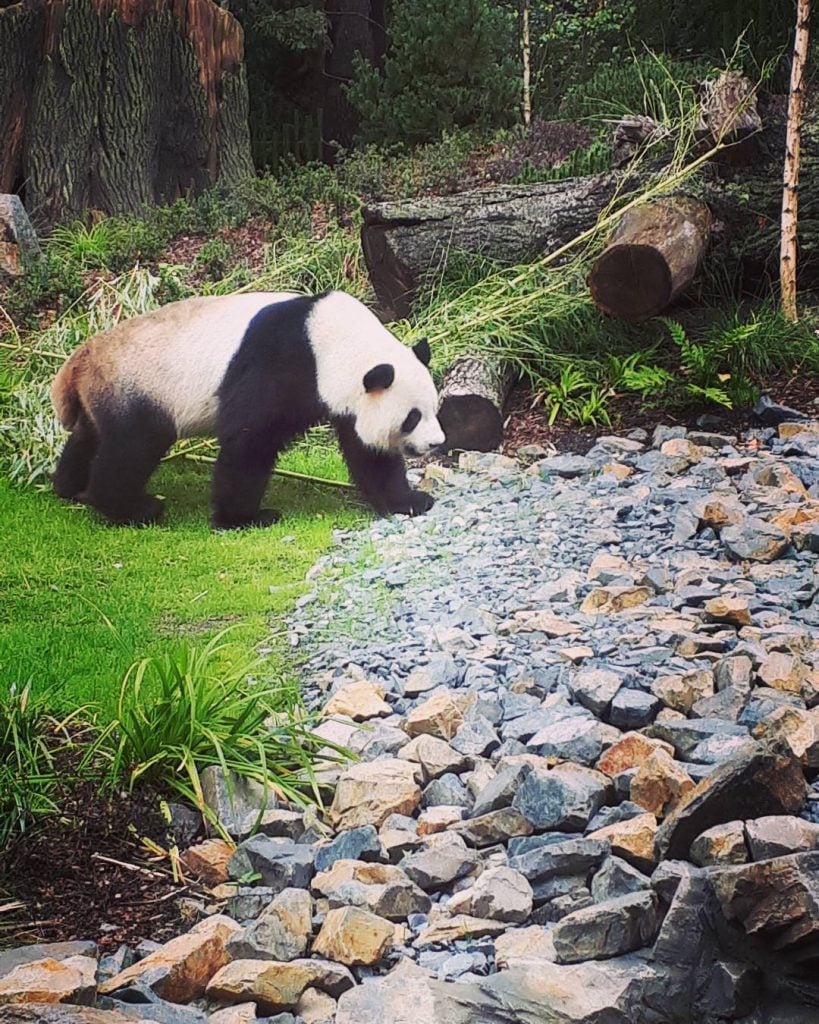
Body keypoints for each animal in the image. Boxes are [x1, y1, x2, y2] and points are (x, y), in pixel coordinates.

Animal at [49, 288, 448, 528]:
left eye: (434, 409)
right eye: (412, 417)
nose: (436, 443)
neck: (334, 341)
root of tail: (79, 361)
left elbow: (368, 452)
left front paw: (409, 500)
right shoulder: (284, 361)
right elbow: (250, 438)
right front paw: (244, 517)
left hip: (103, 394)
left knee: (88, 437)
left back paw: (68, 487)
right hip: (138, 386)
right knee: (132, 447)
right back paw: (134, 507)